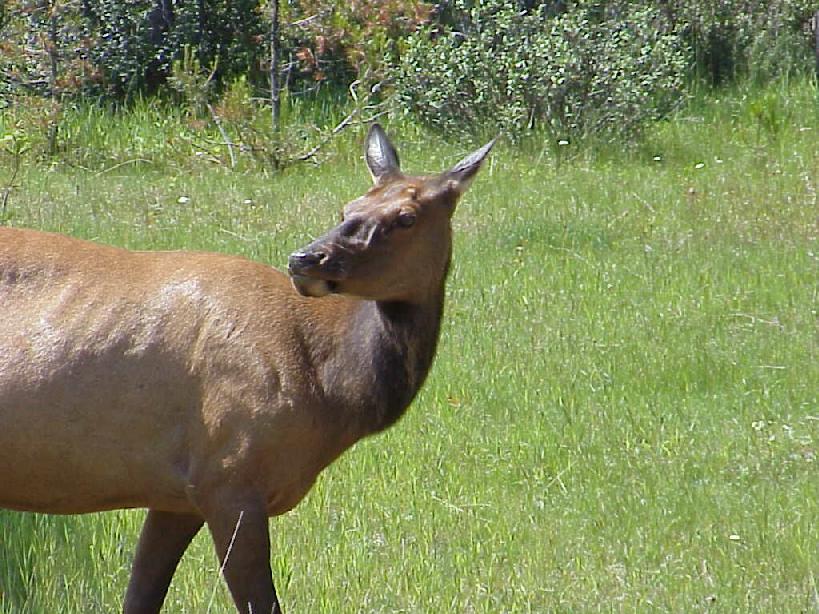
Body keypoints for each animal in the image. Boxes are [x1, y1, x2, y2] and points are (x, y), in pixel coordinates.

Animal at [0, 126, 494, 614]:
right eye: (349, 207)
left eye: (407, 217)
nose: (305, 259)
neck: (329, 394)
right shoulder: (229, 476)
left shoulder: (178, 495)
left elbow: (141, 597)